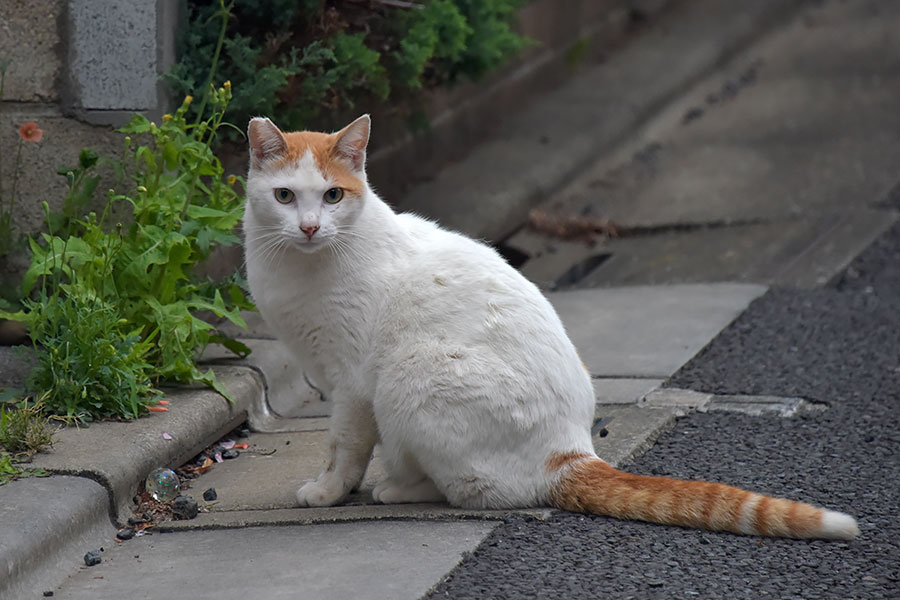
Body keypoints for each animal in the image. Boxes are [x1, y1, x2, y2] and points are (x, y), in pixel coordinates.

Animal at [243, 115, 860, 540]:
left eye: (332, 195)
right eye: (284, 196)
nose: (309, 227)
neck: (301, 269)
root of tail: (570, 452)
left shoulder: (351, 382)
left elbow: (343, 446)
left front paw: (328, 490)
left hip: (410, 375)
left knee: (471, 490)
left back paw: (395, 488)